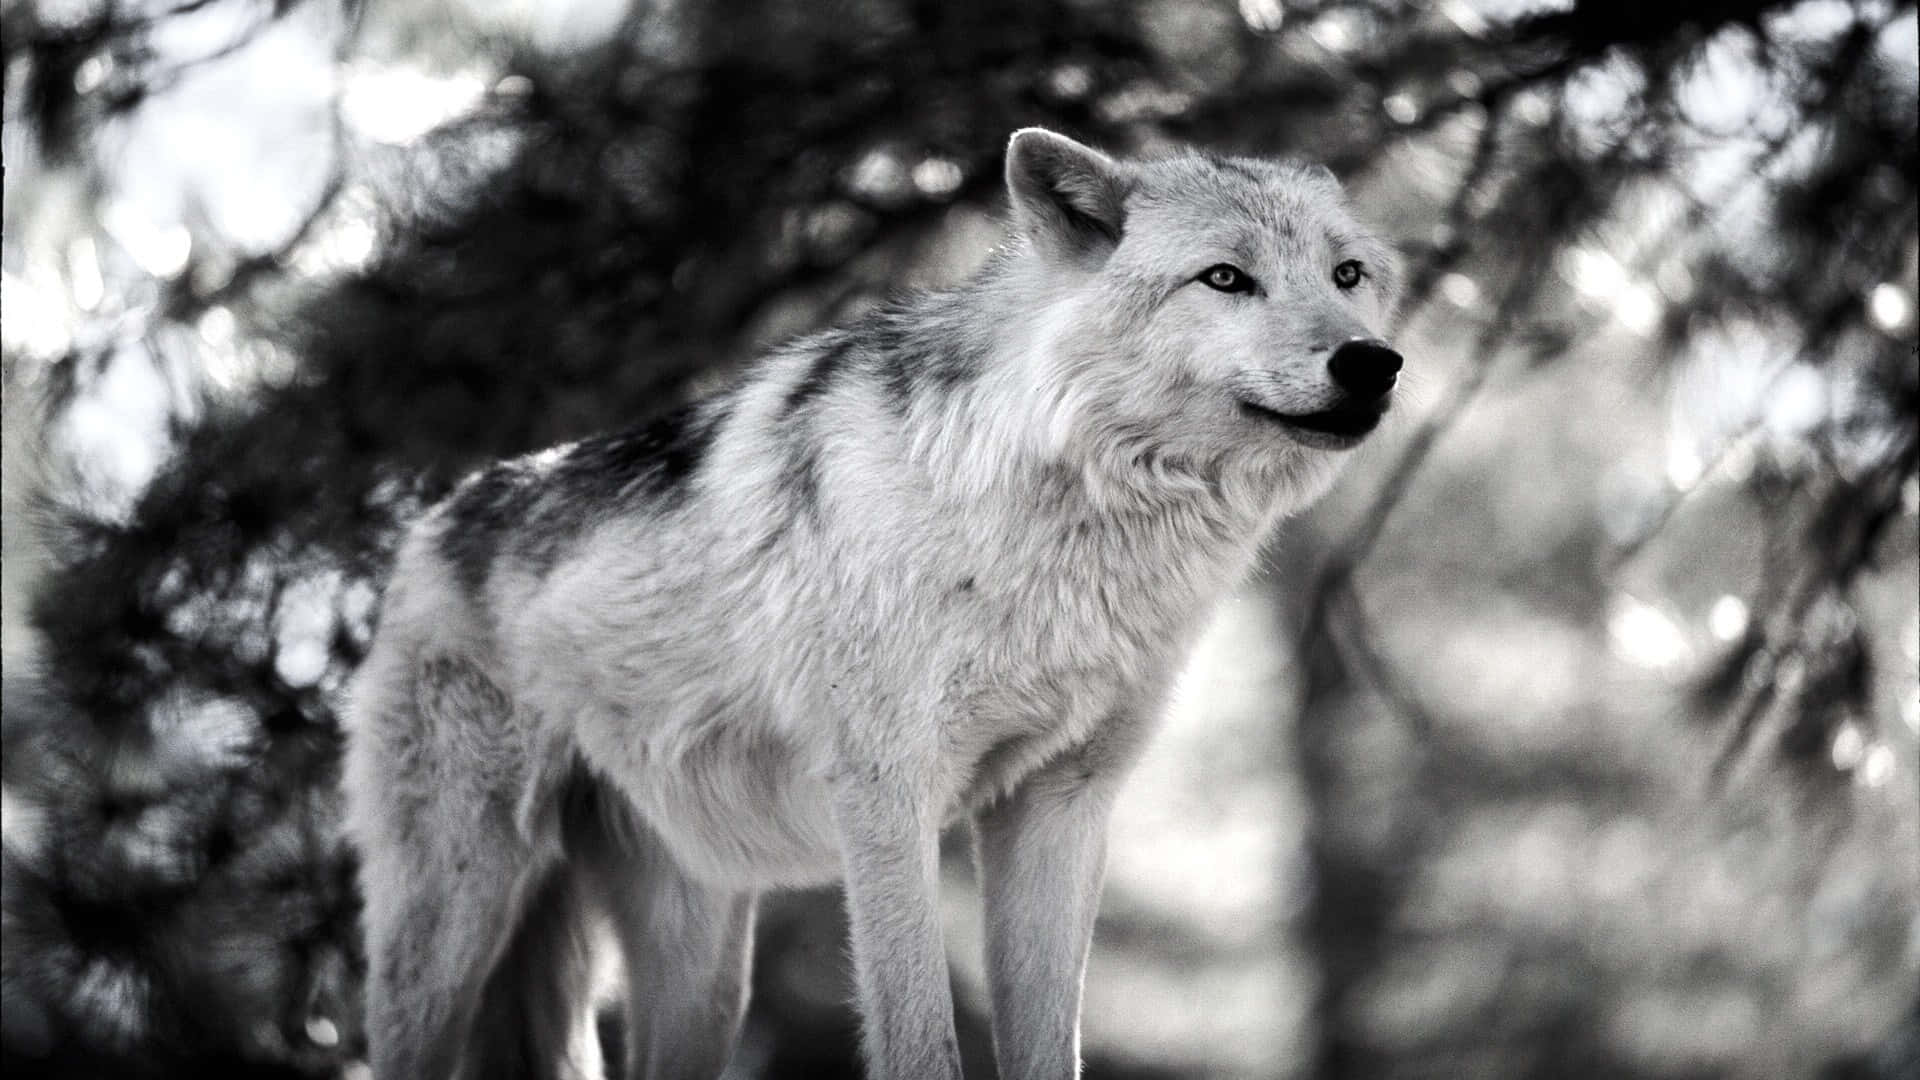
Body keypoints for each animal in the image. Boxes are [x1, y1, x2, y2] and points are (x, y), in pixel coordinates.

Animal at [343, 127, 1402, 1080]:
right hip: (452, 923)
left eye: (1346, 274)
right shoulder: (888, 798)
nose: (1373, 362)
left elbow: (1048, 1047)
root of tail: (432, 519)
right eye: (1225, 278)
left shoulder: (1059, 807)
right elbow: (921, 1040)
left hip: (701, 970)